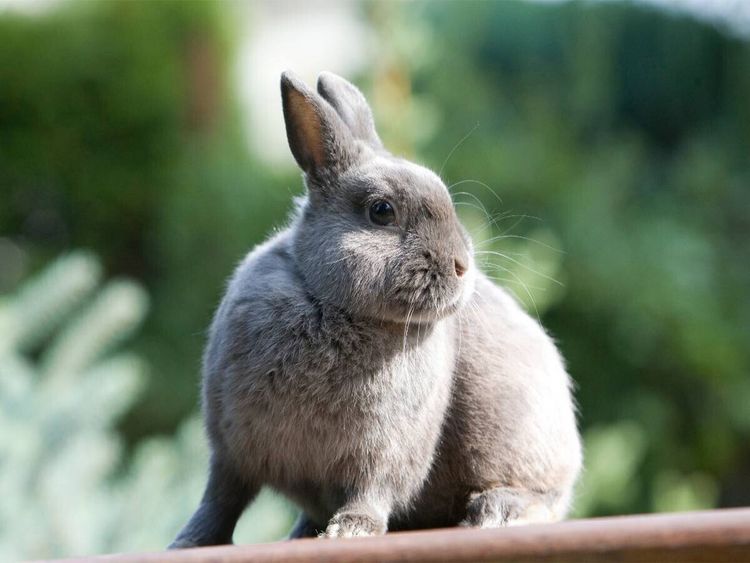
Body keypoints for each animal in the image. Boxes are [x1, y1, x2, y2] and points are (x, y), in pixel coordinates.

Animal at [169, 71, 581, 548]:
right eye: (381, 211)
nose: (462, 265)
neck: (330, 304)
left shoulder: (384, 452)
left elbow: (370, 490)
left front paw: (349, 530)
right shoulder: (231, 450)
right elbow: (220, 502)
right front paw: (186, 542)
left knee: (543, 501)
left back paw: (495, 513)